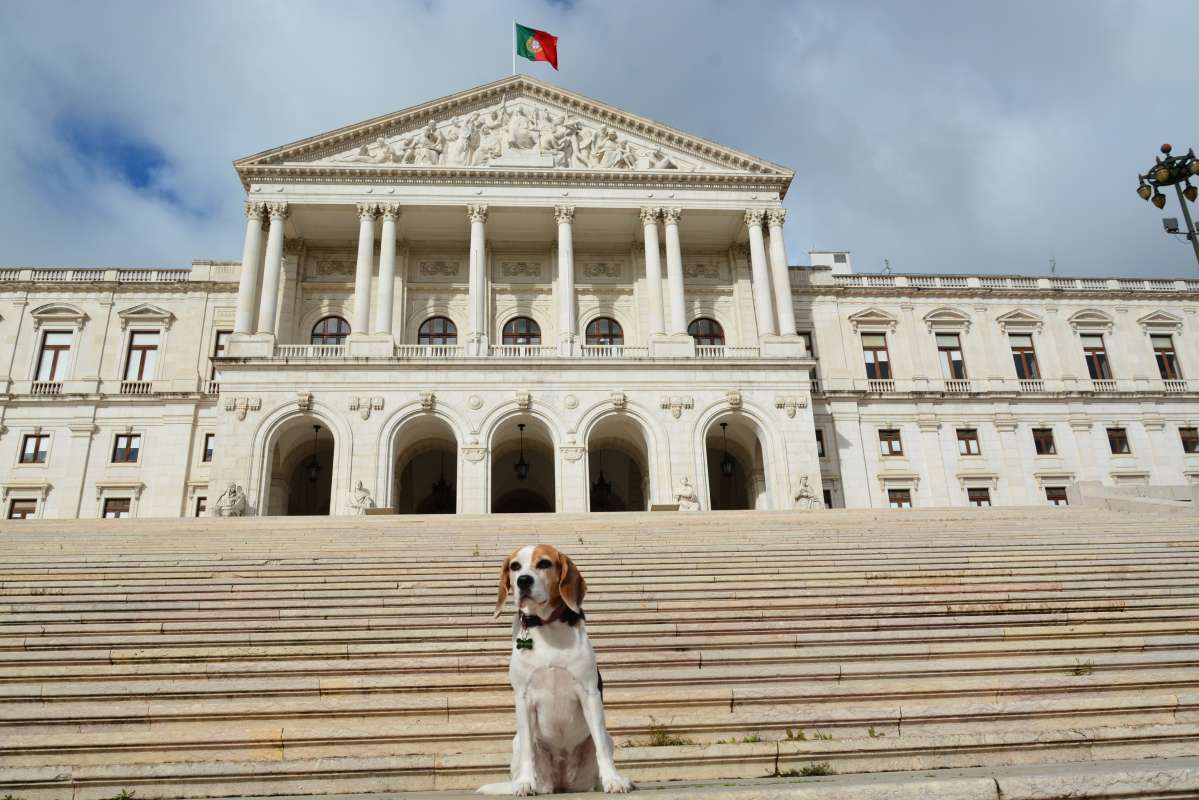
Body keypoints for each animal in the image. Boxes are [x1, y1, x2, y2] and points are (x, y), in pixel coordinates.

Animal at [477, 544, 633, 796]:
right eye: (515, 566)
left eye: (544, 563)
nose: (523, 581)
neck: (545, 626)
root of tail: (562, 783)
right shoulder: (523, 698)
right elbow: (528, 751)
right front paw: (525, 783)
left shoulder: (589, 694)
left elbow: (600, 747)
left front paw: (614, 781)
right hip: (517, 742)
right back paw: (522, 783)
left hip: (606, 739)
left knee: (601, 748)